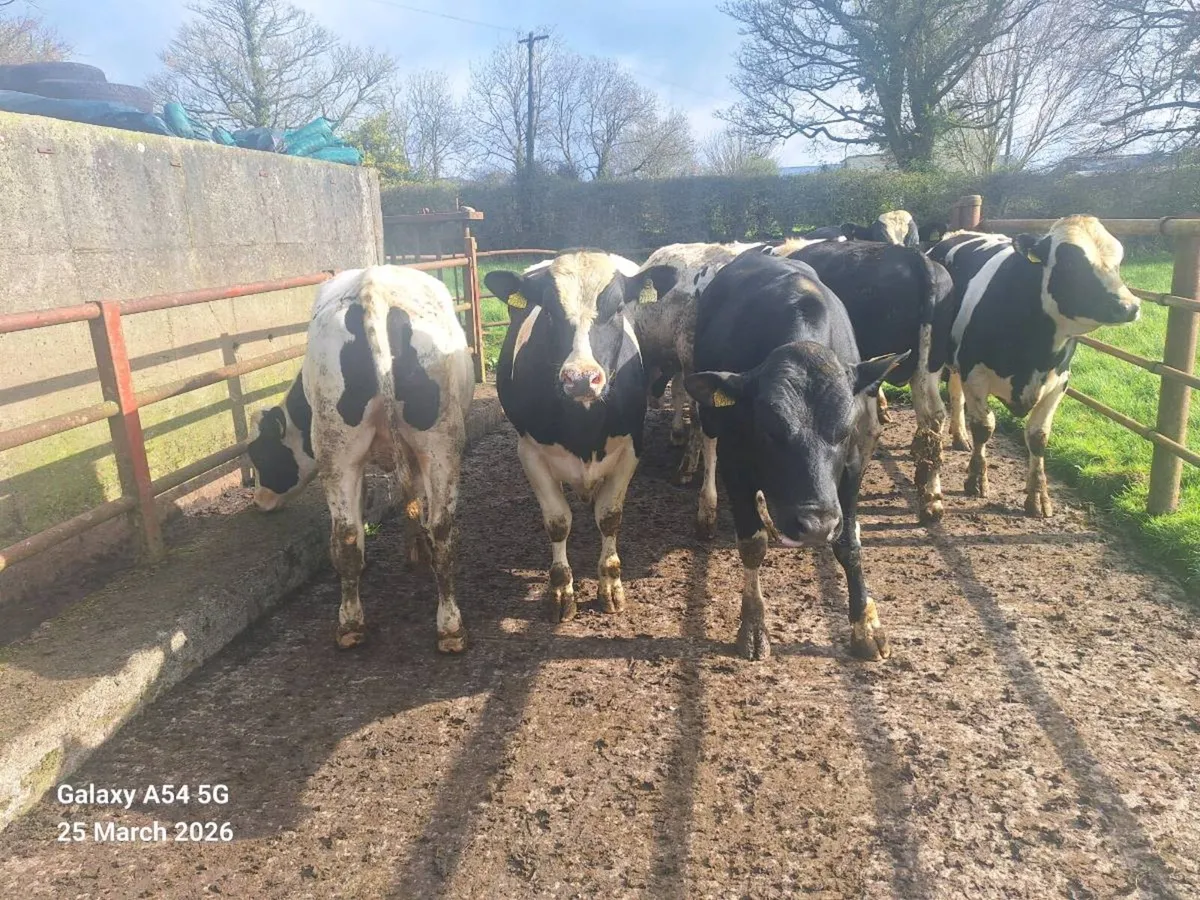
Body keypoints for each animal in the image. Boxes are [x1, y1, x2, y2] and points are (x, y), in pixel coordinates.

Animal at [247, 266, 475, 651]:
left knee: (357, 532)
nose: (259, 502)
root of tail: (372, 291)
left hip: (346, 450)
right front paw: (414, 547)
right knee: (429, 530)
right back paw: (441, 626)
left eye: (260, 453)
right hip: (435, 444)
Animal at [484, 252, 678, 622]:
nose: (582, 378)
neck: (584, 427)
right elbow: (558, 521)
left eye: (618, 309)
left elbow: (609, 516)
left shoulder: (632, 446)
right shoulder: (529, 452)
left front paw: (610, 585)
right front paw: (561, 590)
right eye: (547, 310)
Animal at [686, 249, 906, 661]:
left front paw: (866, 625)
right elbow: (751, 544)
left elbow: (849, 542)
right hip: (709, 412)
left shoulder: (853, 464)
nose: (815, 525)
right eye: (769, 429)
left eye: (844, 428)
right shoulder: (736, 463)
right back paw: (707, 509)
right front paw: (753, 626)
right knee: (707, 444)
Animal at [928, 216, 1140, 517]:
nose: (1129, 305)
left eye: (1118, 261)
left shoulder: (1059, 382)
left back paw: (959, 436)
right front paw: (977, 479)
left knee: (956, 394)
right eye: (1070, 263)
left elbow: (1038, 437)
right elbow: (984, 426)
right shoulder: (975, 373)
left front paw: (1038, 496)